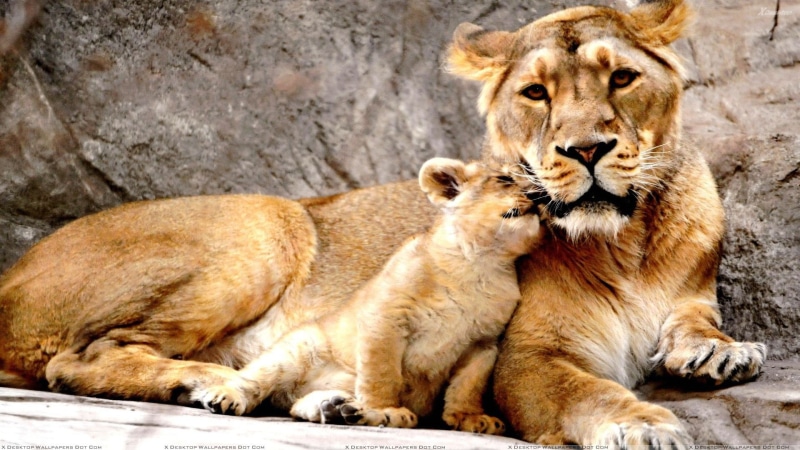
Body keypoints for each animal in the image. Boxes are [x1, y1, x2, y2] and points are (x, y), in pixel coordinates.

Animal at [191, 158, 541, 436]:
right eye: (505, 179)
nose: (539, 196)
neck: (480, 265)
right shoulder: (385, 316)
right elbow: (382, 372)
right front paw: (385, 409)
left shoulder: (483, 343)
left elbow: (469, 384)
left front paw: (469, 417)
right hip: (296, 348)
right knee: (253, 379)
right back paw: (227, 397)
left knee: (295, 406)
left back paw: (336, 408)